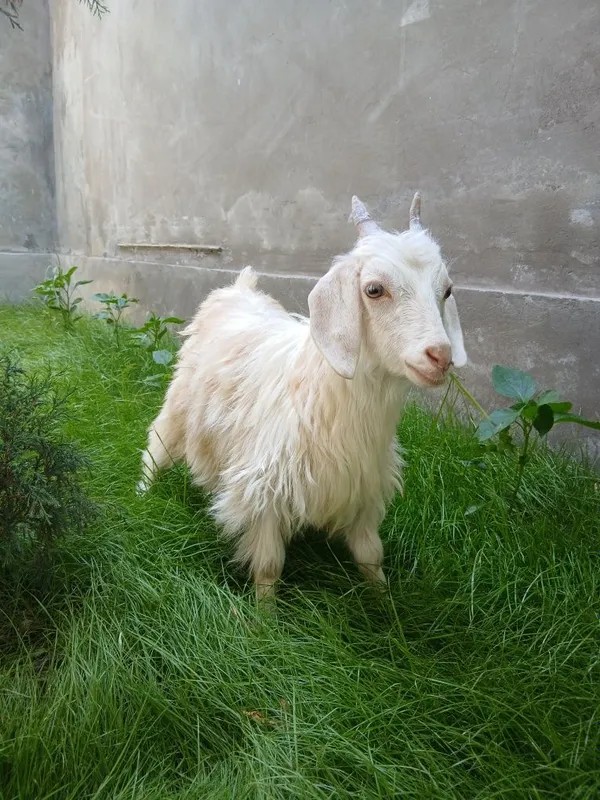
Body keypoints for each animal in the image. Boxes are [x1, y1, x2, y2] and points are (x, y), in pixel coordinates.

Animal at [137, 194, 467, 599]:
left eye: (446, 290)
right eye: (374, 289)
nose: (440, 356)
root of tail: (240, 288)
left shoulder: (363, 490)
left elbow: (371, 556)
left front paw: (384, 603)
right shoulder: (264, 491)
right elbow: (268, 567)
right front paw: (263, 615)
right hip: (179, 403)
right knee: (157, 445)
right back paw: (142, 495)